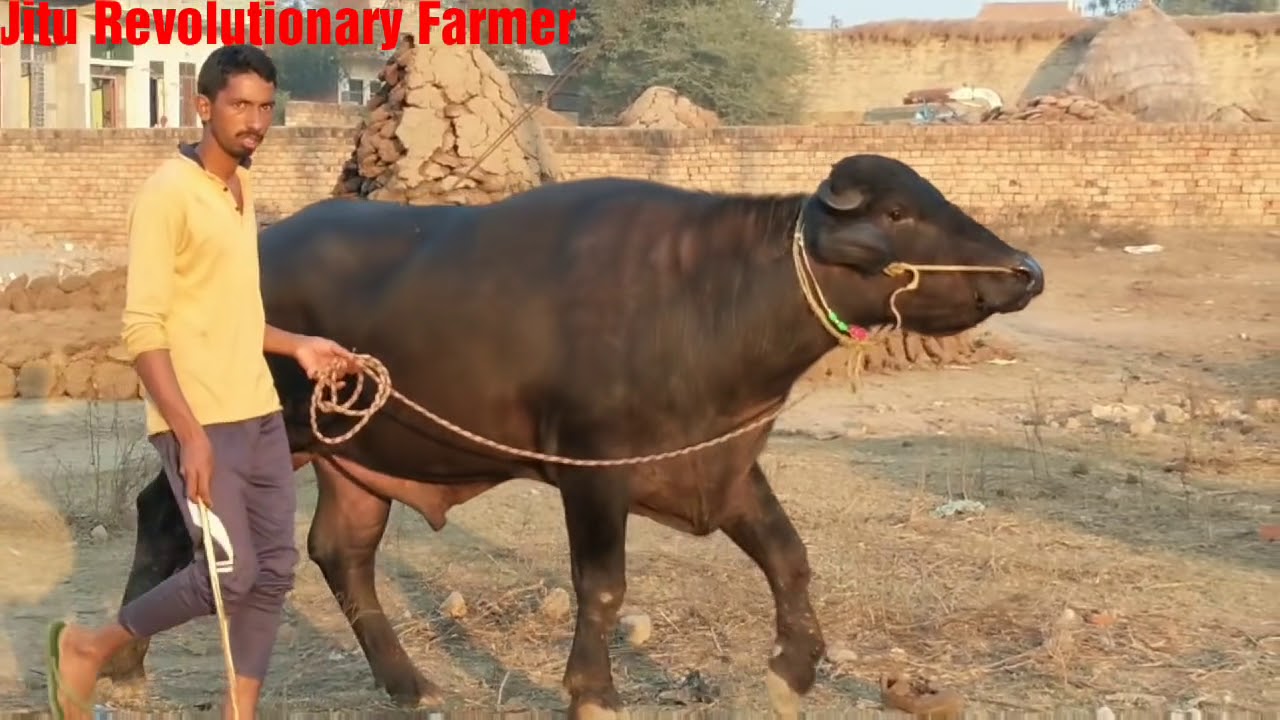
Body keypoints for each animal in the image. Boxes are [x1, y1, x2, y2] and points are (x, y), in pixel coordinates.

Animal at [100, 153, 1044, 719]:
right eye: (899, 211)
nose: (1026, 270)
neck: (707, 297)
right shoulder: (593, 471)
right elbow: (604, 586)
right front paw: (592, 691)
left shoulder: (723, 465)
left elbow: (789, 556)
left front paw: (792, 668)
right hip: (246, 433)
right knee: (167, 514)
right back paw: (124, 663)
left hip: (354, 455)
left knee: (342, 551)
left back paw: (410, 684)